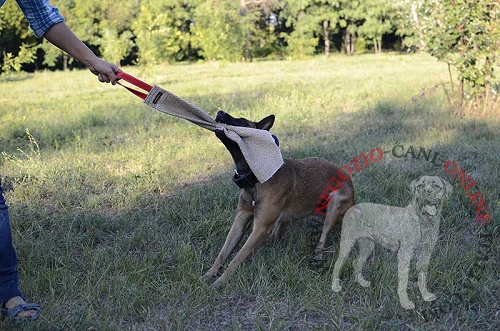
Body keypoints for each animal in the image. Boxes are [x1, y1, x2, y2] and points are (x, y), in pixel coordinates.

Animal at [203, 111, 356, 288]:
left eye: (241, 121)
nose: (219, 112)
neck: (256, 178)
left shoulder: (260, 228)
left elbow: (236, 258)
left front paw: (219, 283)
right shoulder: (240, 220)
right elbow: (223, 253)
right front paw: (209, 274)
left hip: (334, 203)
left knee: (323, 236)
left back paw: (317, 256)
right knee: (280, 227)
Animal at [332, 178, 454, 310]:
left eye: (436, 186)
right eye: (420, 186)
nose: (426, 191)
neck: (424, 221)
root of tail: (352, 208)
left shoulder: (426, 254)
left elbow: (422, 277)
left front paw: (425, 296)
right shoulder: (404, 254)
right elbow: (404, 281)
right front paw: (405, 302)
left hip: (367, 246)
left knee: (357, 262)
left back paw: (362, 282)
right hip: (347, 243)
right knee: (337, 263)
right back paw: (335, 286)